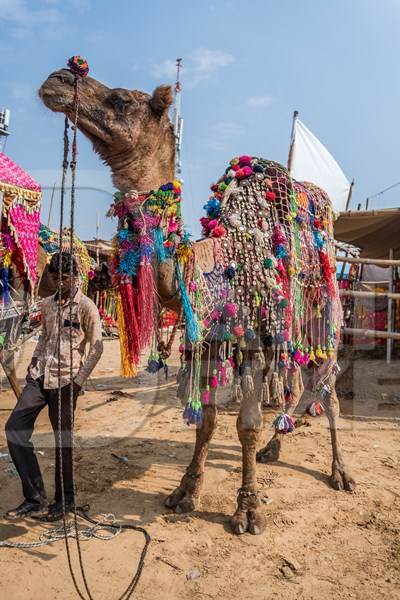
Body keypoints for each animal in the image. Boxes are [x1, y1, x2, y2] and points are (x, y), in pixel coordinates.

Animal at [39, 64, 354, 536]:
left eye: (123, 99)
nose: (58, 78)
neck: (212, 264)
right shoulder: (206, 340)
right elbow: (205, 423)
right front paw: (185, 491)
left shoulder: (247, 340)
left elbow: (245, 425)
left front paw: (247, 510)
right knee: (294, 384)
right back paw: (275, 448)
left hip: (322, 313)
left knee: (327, 389)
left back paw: (339, 471)